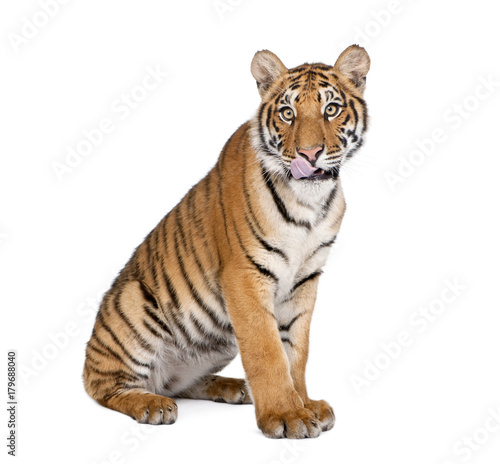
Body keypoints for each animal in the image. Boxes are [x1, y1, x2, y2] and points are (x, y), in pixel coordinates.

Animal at [83, 45, 372, 440]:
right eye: (288, 113)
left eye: (331, 109)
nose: (309, 154)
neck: (309, 202)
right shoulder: (245, 276)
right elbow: (267, 352)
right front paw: (286, 415)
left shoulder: (305, 278)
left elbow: (296, 351)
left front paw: (305, 404)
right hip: (134, 300)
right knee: (105, 386)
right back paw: (151, 405)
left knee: (180, 384)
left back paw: (234, 388)